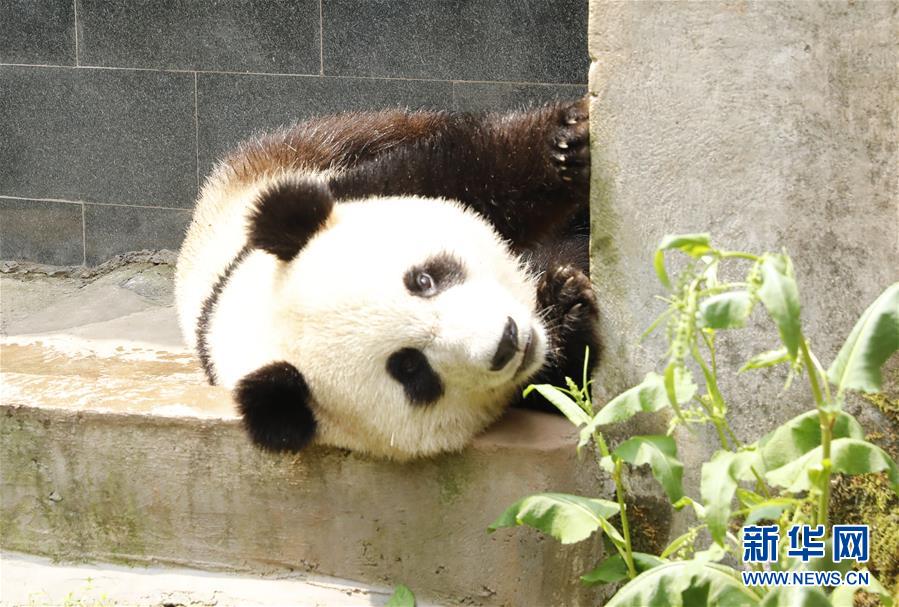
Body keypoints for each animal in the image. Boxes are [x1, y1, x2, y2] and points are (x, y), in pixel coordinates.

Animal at [175, 98, 599, 461]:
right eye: (410, 368)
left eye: (423, 280)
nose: (508, 341)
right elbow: (559, 387)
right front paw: (566, 310)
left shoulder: (358, 187)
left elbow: (472, 171)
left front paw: (571, 142)